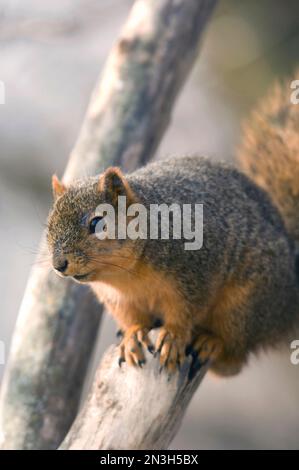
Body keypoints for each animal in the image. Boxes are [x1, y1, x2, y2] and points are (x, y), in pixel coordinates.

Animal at [46, 77, 299, 378]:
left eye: (97, 223)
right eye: (49, 227)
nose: (58, 264)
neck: (128, 274)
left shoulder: (197, 272)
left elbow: (184, 312)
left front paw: (174, 337)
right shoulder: (118, 299)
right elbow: (131, 318)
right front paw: (132, 336)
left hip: (246, 304)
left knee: (233, 359)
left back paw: (211, 342)